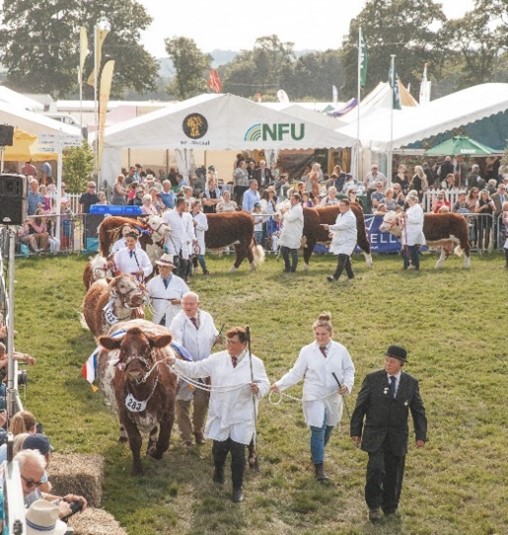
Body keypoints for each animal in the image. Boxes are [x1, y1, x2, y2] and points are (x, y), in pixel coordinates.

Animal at [97, 320, 179, 476]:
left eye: (147, 348)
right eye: (122, 349)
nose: (134, 372)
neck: (142, 393)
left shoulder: (169, 412)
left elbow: (164, 442)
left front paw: (154, 452)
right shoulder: (125, 413)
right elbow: (135, 441)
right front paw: (137, 469)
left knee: (154, 431)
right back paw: (123, 436)